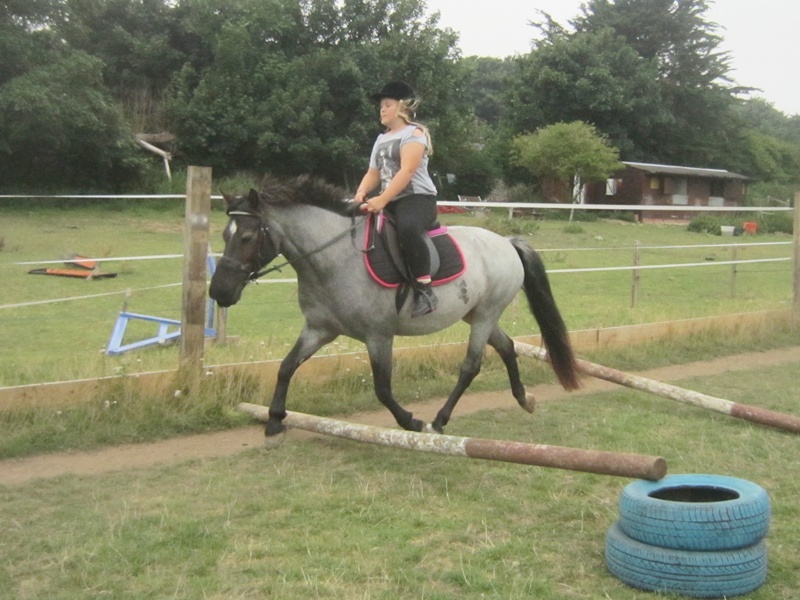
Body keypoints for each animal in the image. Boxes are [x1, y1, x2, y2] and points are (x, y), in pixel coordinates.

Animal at [209, 175, 579, 439]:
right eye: (225, 235)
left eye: (246, 237)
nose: (219, 292)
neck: (334, 261)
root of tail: (507, 242)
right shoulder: (319, 330)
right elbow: (286, 367)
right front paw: (274, 420)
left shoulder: (378, 336)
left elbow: (383, 389)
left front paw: (410, 421)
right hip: (477, 315)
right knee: (506, 347)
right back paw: (524, 399)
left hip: (486, 314)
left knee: (471, 366)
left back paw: (439, 420)